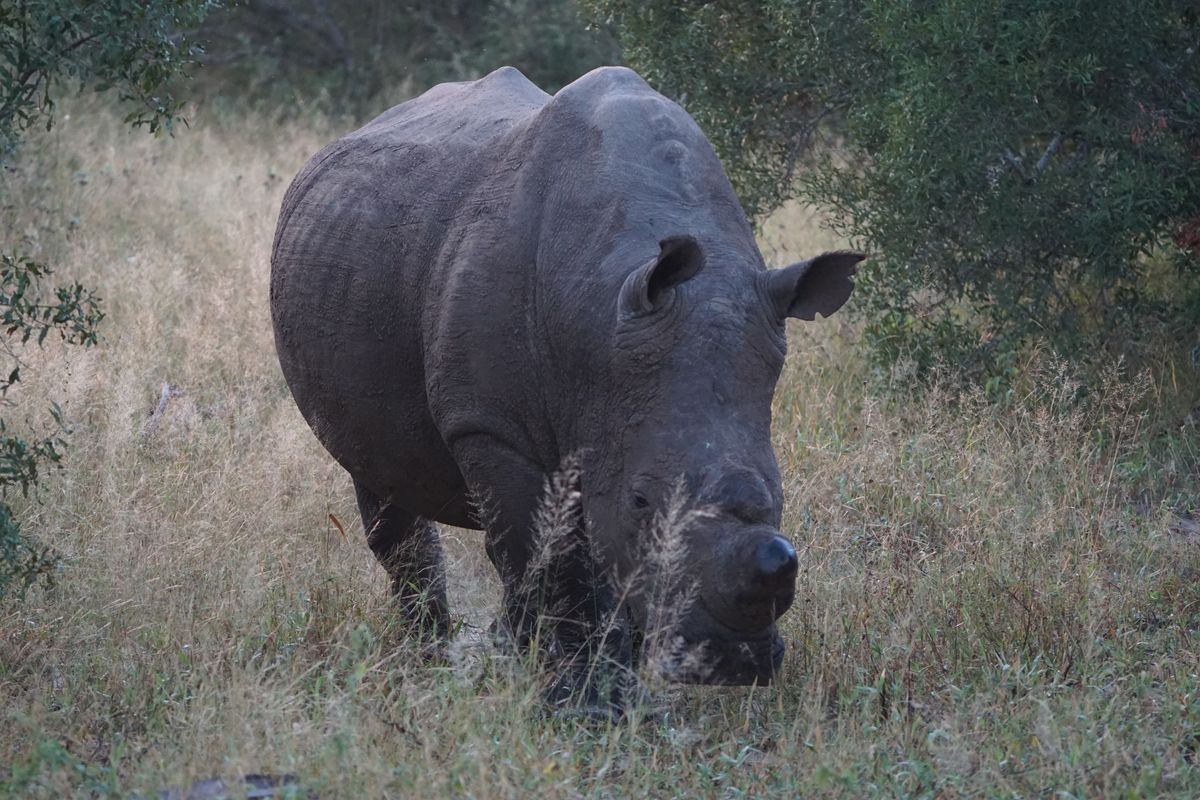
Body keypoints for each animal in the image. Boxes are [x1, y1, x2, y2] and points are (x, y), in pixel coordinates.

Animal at [270, 66, 861, 709]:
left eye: (777, 494)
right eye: (641, 500)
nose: (731, 662)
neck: (600, 323)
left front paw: (609, 691)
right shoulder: (492, 426)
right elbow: (551, 556)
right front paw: (578, 700)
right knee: (391, 490)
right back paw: (430, 665)